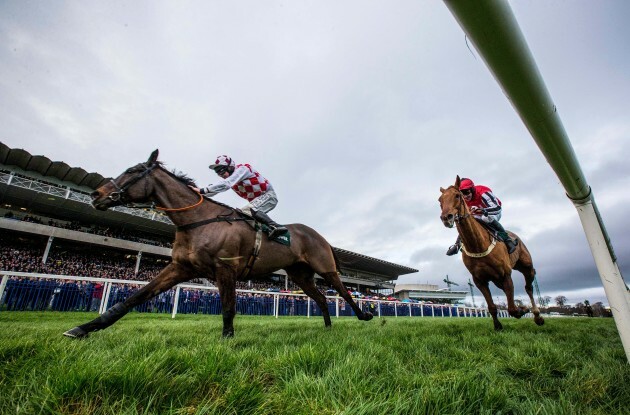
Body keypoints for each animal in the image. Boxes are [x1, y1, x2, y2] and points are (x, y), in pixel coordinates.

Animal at [63, 151, 376, 340]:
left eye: (134, 170)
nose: (96, 194)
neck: (196, 221)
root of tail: (319, 235)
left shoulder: (225, 269)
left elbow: (228, 307)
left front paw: (227, 340)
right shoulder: (180, 268)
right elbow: (133, 298)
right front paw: (83, 328)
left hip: (325, 268)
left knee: (343, 292)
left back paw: (365, 314)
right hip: (300, 275)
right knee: (322, 298)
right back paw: (327, 328)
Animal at [440, 176, 548, 332]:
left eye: (457, 195)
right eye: (440, 200)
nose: (446, 218)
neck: (478, 245)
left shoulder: (506, 274)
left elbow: (512, 309)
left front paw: (522, 310)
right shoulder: (479, 280)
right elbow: (492, 306)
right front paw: (498, 326)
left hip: (526, 267)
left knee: (529, 288)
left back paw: (537, 316)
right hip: (497, 279)